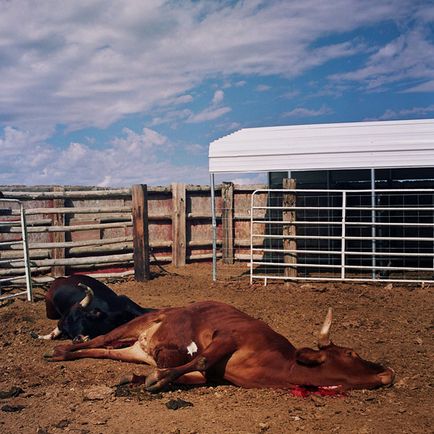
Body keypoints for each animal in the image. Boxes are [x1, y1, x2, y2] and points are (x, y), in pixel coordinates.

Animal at [46, 300, 394, 392]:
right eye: (351, 353)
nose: (388, 372)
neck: (279, 364)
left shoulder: (211, 374)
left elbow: (193, 373)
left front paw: (141, 378)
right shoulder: (228, 337)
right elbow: (198, 361)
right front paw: (156, 379)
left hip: (135, 350)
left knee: (101, 350)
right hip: (135, 324)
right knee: (100, 339)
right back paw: (60, 351)